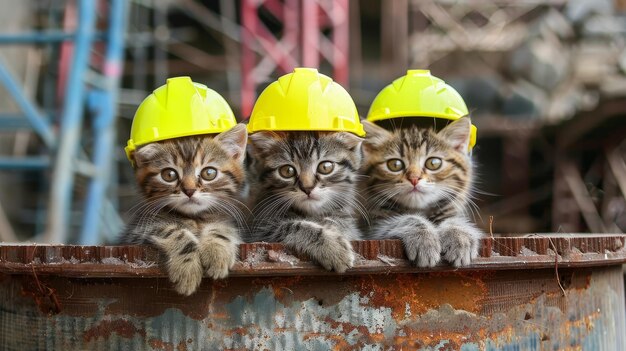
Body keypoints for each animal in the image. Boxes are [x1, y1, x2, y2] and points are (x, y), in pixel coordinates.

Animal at [120, 125, 247, 296]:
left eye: (209, 173)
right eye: (169, 175)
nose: (189, 190)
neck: (194, 218)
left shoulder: (224, 217)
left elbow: (221, 228)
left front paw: (217, 251)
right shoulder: (138, 234)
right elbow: (173, 231)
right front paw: (187, 269)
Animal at [247, 132, 364, 272]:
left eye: (325, 167)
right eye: (287, 171)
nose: (307, 188)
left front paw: (334, 226)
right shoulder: (260, 232)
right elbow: (293, 226)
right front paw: (332, 246)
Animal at [358, 117, 480, 268]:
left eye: (433, 163)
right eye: (395, 165)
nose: (414, 179)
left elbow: (454, 220)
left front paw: (460, 236)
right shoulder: (374, 227)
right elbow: (406, 219)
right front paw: (424, 239)